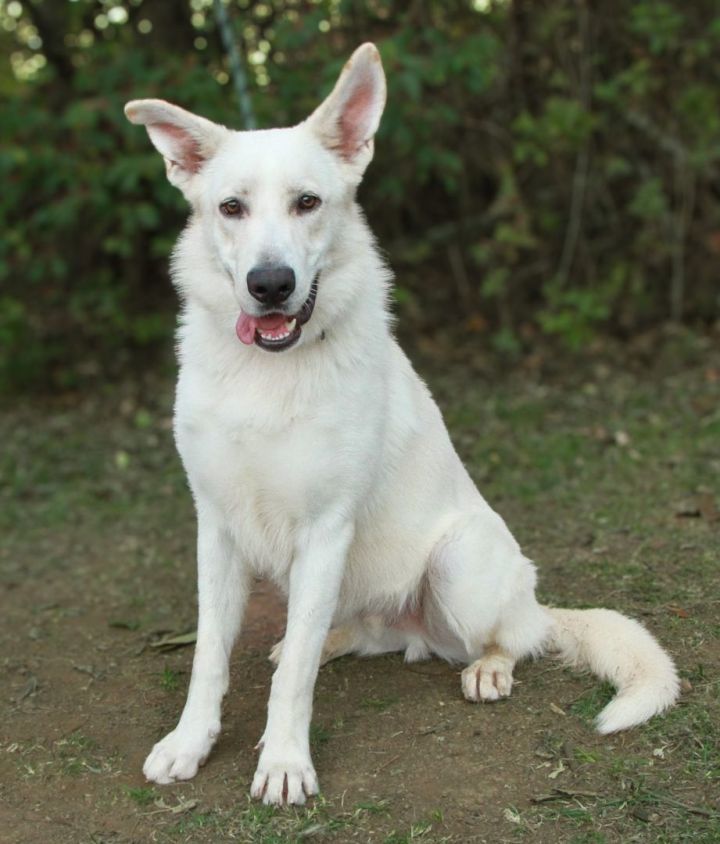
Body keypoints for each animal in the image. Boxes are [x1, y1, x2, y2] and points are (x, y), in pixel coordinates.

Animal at [125, 44, 680, 804]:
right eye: (230, 208)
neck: (269, 374)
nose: (270, 284)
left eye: (307, 202)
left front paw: (285, 762)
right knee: (354, 633)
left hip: (459, 564)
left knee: (514, 639)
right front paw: (190, 743)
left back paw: (489, 667)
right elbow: (212, 654)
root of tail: (533, 601)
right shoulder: (217, 527)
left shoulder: (325, 529)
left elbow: (292, 680)